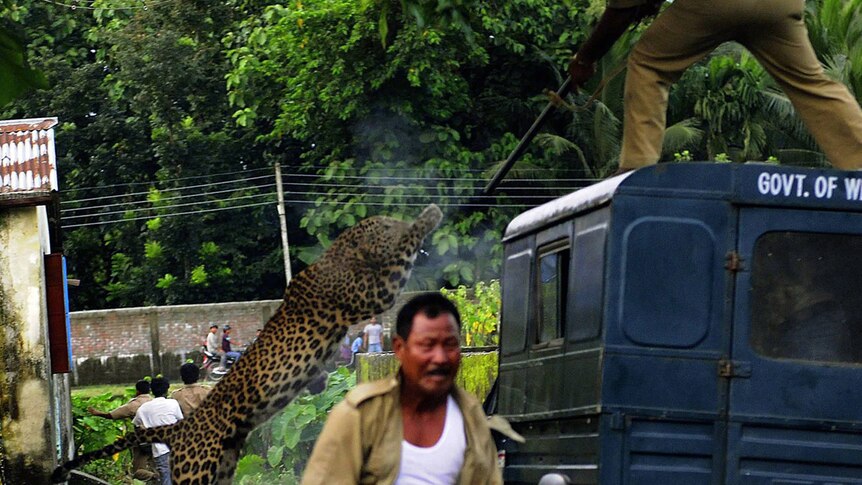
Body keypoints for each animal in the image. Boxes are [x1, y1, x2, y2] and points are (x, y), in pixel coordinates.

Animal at [53, 202, 442, 482]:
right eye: (386, 226)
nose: (396, 221)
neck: (343, 256)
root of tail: (181, 426)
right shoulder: (373, 293)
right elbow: (404, 252)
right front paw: (429, 215)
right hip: (198, 470)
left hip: (223, 468)